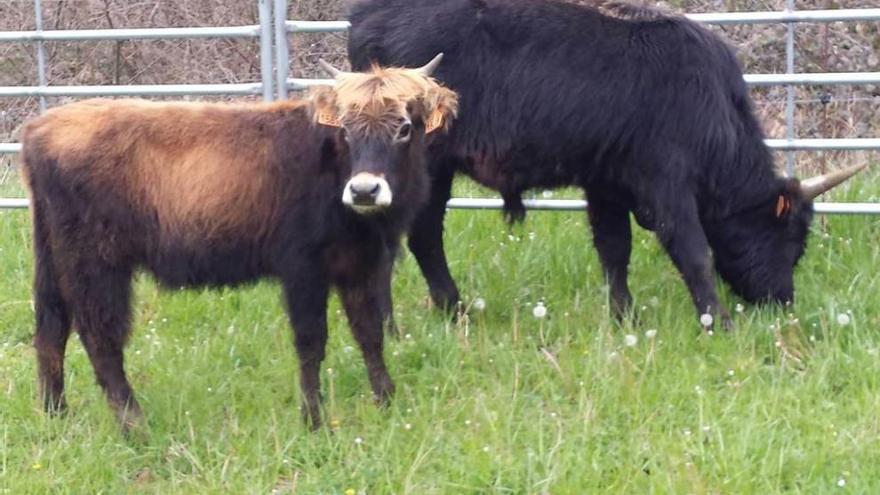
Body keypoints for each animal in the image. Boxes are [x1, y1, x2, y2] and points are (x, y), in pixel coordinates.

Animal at [18, 56, 460, 432]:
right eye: (346, 130)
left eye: (404, 127)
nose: (365, 190)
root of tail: (42, 128)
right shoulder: (303, 270)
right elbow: (311, 341)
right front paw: (313, 419)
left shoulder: (360, 265)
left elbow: (370, 334)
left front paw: (386, 402)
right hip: (96, 264)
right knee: (100, 337)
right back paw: (134, 426)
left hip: (53, 259)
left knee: (51, 327)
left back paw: (55, 414)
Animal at [348, 0, 864, 330]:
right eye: (791, 239)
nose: (782, 301)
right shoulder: (668, 183)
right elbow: (694, 252)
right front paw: (717, 322)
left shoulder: (607, 182)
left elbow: (614, 249)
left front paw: (624, 317)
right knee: (419, 235)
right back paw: (447, 313)